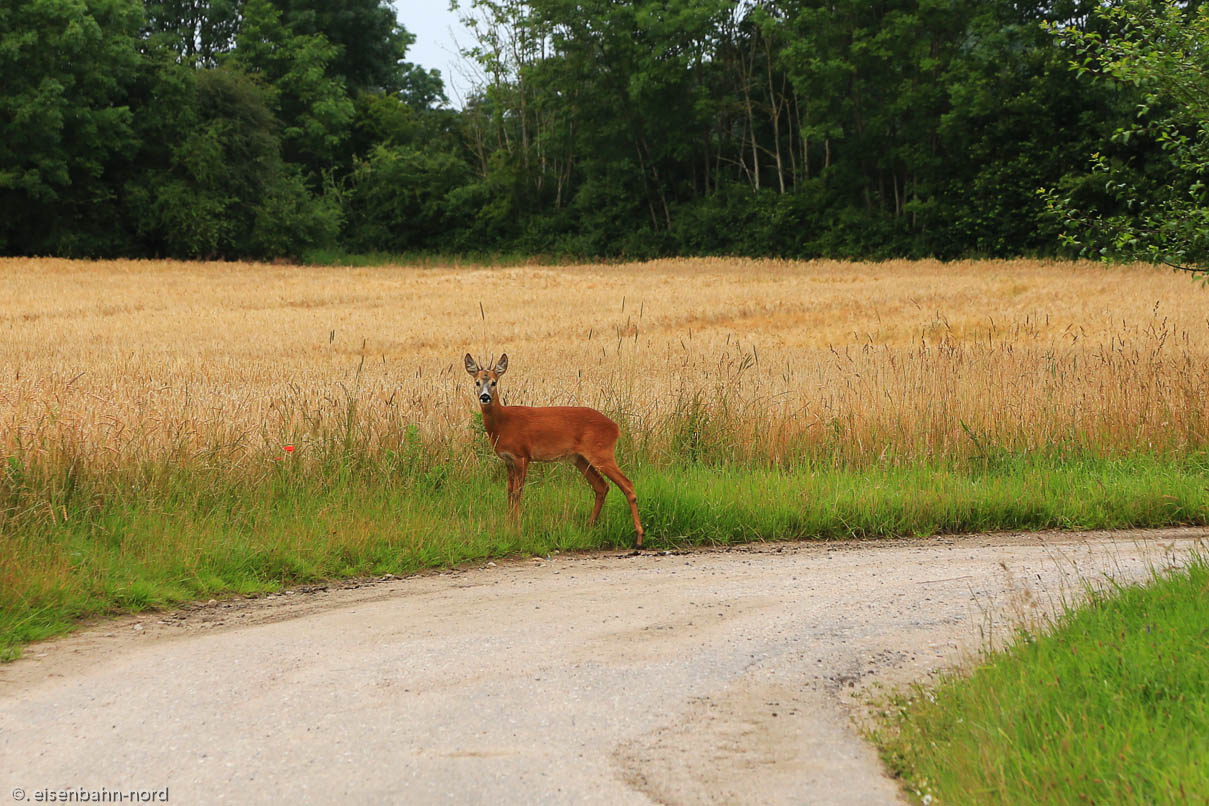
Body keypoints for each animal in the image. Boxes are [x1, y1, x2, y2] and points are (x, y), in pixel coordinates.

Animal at [464, 352, 643, 548]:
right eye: (477, 382)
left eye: (494, 382)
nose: (485, 397)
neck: (503, 424)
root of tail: (615, 427)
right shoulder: (508, 460)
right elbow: (509, 493)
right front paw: (508, 525)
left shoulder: (522, 455)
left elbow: (518, 493)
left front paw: (516, 529)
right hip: (580, 459)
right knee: (602, 486)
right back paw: (589, 526)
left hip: (601, 452)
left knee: (627, 484)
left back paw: (639, 537)